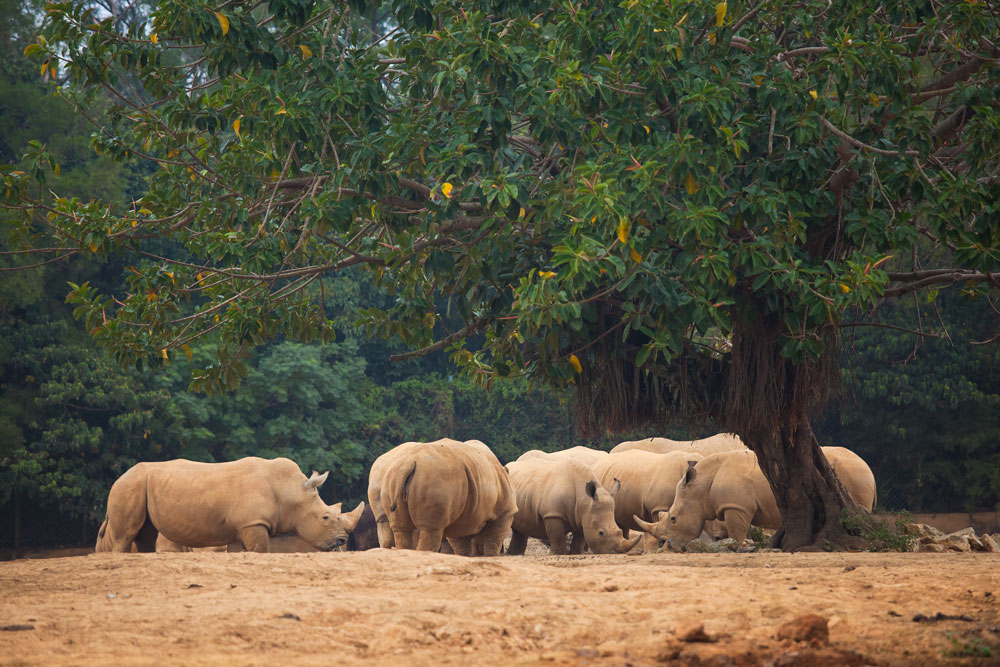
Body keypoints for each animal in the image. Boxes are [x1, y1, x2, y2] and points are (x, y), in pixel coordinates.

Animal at [94, 456, 366, 556]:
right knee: (125, 535)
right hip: (129, 485)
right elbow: (260, 550)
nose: (342, 541)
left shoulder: (247, 525)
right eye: (325, 518)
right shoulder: (253, 523)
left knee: (146, 534)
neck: (290, 490)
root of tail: (119, 477)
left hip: (140, 486)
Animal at [376, 438, 516, 560]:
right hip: (435, 478)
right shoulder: (505, 512)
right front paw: (491, 556)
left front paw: (465, 557)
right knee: (431, 530)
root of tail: (408, 463)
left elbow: (462, 541)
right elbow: (494, 538)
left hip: (392, 478)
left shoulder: (464, 514)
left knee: (401, 529)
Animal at [508, 456, 640, 556]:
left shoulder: (583, 515)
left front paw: (576, 553)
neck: (585, 500)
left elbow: (580, 538)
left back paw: (514, 554)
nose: (616, 553)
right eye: (601, 533)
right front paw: (558, 554)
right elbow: (556, 535)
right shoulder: (553, 514)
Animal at [664, 446, 876, 552]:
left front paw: (740, 547)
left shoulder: (736, 507)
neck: (700, 487)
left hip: (855, 474)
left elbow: (736, 531)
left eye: (673, 519)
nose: (672, 546)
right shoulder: (738, 506)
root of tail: (869, 468)